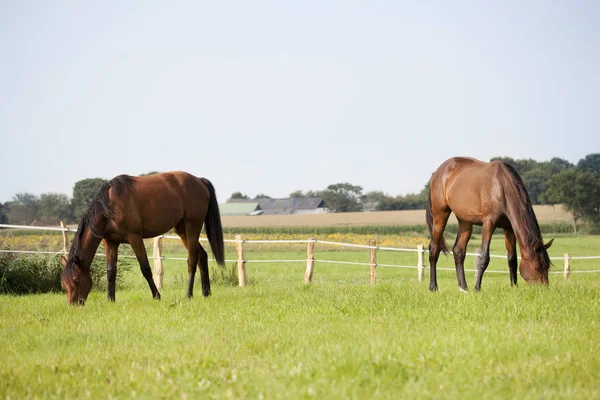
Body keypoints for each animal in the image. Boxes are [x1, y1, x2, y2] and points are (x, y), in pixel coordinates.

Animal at [60, 170, 225, 304]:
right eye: (64, 284)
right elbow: (111, 271)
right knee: (202, 256)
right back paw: (206, 292)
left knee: (192, 260)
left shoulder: (135, 238)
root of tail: (199, 181)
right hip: (182, 229)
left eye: (76, 280)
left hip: (192, 227)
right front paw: (110, 299)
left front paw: (157, 296)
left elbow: (145, 268)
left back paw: (188, 294)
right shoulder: (110, 242)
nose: (73, 304)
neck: (110, 206)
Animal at [426, 158, 552, 292]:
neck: (502, 187)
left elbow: (512, 259)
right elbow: (484, 258)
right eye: (537, 267)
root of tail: (438, 173)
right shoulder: (488, 224)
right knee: (434, 248)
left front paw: (514, 287)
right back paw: (433, 287)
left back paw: (463, 287)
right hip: (440, 215)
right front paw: (477, 288)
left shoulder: (509, 228)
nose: (544, 289)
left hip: (465, 221)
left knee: (458, 251)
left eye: (547, 267)